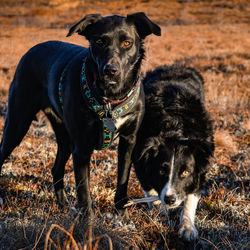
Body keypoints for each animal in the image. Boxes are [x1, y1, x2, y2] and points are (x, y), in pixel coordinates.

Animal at [0, 12, 160, 215]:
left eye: (127, 43)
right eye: (99, 41)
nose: (111, 70)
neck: (110, 99)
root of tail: (32, 50)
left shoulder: (128, 140)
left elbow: (123, 178)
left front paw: (120, 210)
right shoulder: (82, 148)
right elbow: (84, 192)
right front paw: (87, 219)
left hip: (65, 136)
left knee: (56, 168)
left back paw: (62, 205)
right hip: (17, 123)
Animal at [132, 65, 214, 241]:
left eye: (185, 172)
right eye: (162, 170)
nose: (170, 199)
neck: (174, 129)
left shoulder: (201, 169)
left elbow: (190, 199)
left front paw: (187, 228)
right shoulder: (140, 162)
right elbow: (152, 194)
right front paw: (159, 216)